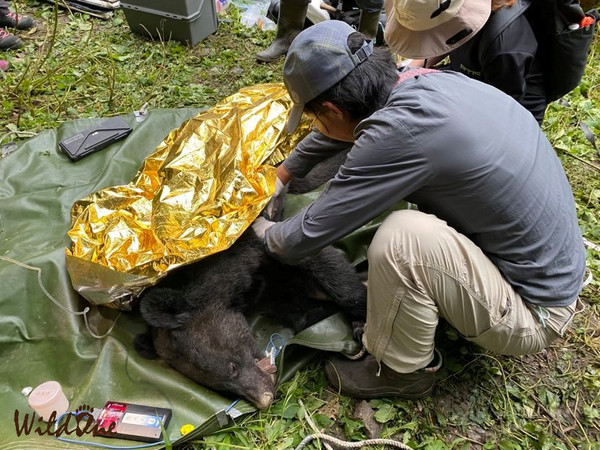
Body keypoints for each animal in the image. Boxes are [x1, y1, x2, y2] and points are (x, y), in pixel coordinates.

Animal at [135, 227, 366, 410]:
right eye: (224, 390)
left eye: (232, 367)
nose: (265, 400)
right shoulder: (270, 289)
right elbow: (292, 306)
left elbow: (324, 261)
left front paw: (361, 318)